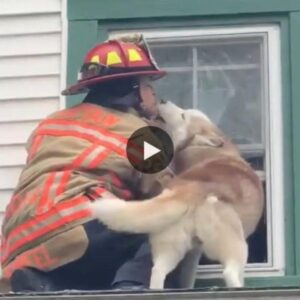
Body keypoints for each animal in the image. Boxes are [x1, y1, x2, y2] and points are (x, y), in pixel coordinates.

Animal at [88, 102, 262, 290]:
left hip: (172, 245)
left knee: (157, 271)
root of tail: (189, 190)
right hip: (235, 246)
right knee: (230, 272)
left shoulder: (193, 253)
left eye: (183, 115)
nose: (162, 101)